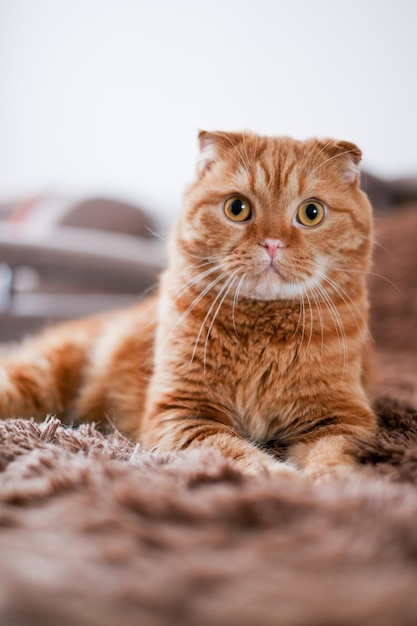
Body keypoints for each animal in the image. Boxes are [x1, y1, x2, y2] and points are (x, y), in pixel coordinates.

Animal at [0, 129, 376, 476]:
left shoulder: (340, 418)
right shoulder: (182, 414)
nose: (272, 243)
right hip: (37, 378)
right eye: (237, 208)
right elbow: (234, 450)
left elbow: (333, 457)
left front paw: (330, 483)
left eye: (311, 213)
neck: (263, 331)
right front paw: (277, 476)